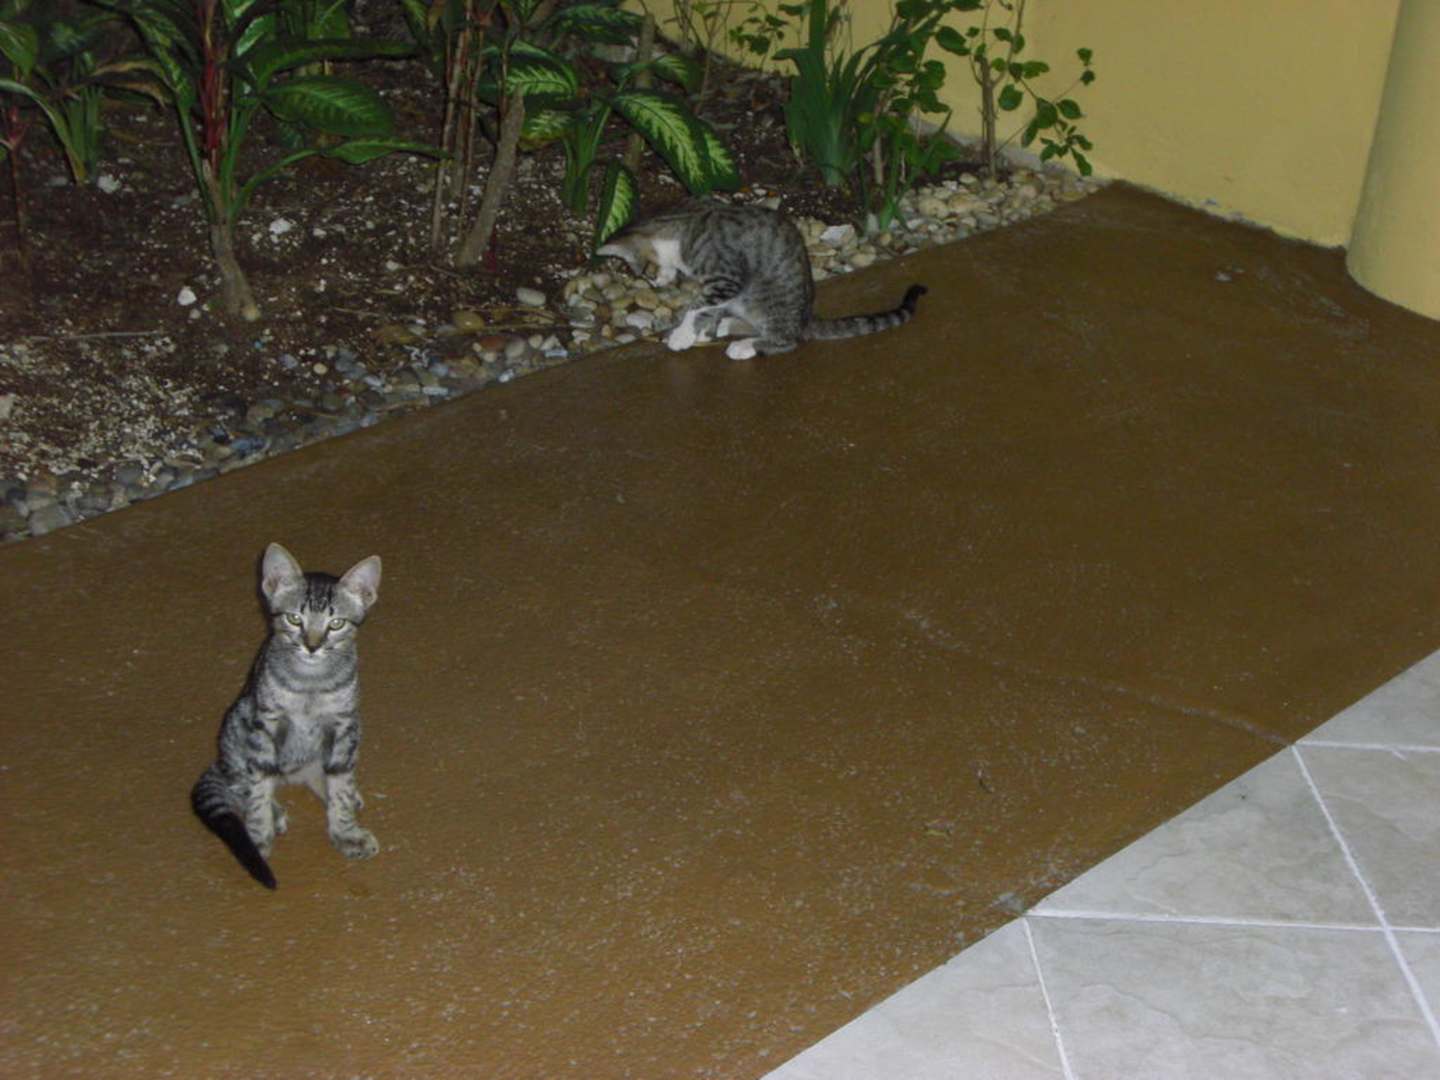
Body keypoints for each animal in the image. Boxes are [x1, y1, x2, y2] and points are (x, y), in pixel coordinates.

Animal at [191, 543, 382, 889]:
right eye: (294, 619)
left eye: (336, 624)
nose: (312, 646)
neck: (311, 684)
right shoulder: (265, 724)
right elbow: (258, 786)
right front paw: (259, 836)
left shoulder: (344, 725)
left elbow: (340, 781)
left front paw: (346, 832)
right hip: (237, 724)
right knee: (239, 779)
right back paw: (272, 810)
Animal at [596, 200, 927, 360]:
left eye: (641, 273)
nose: (655, 284)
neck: (683, 231)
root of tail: (805, 318)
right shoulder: (723, 288)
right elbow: (708, 308)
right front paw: (700, 332)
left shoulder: (726, 278)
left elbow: (696, 305)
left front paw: (682, 334)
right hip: (747, 300)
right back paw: (731, 326)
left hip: (766, 301)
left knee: (788, 340)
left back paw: (745, 346)